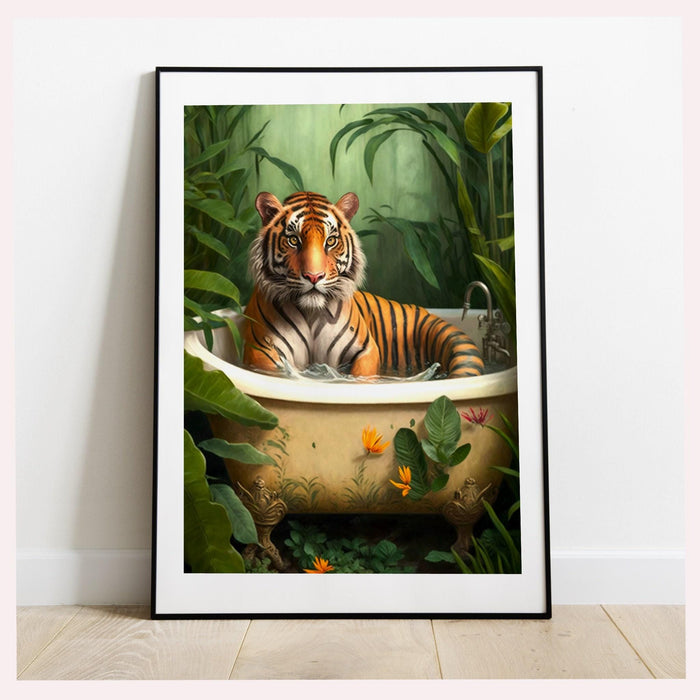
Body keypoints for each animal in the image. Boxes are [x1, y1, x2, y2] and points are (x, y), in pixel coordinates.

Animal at [243, 191, 484, 379]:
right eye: (293, 240)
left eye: (331, 241)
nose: (314, 276)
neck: (312, 315)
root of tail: (426, 314)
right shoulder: (262, 351)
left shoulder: (365, 350)